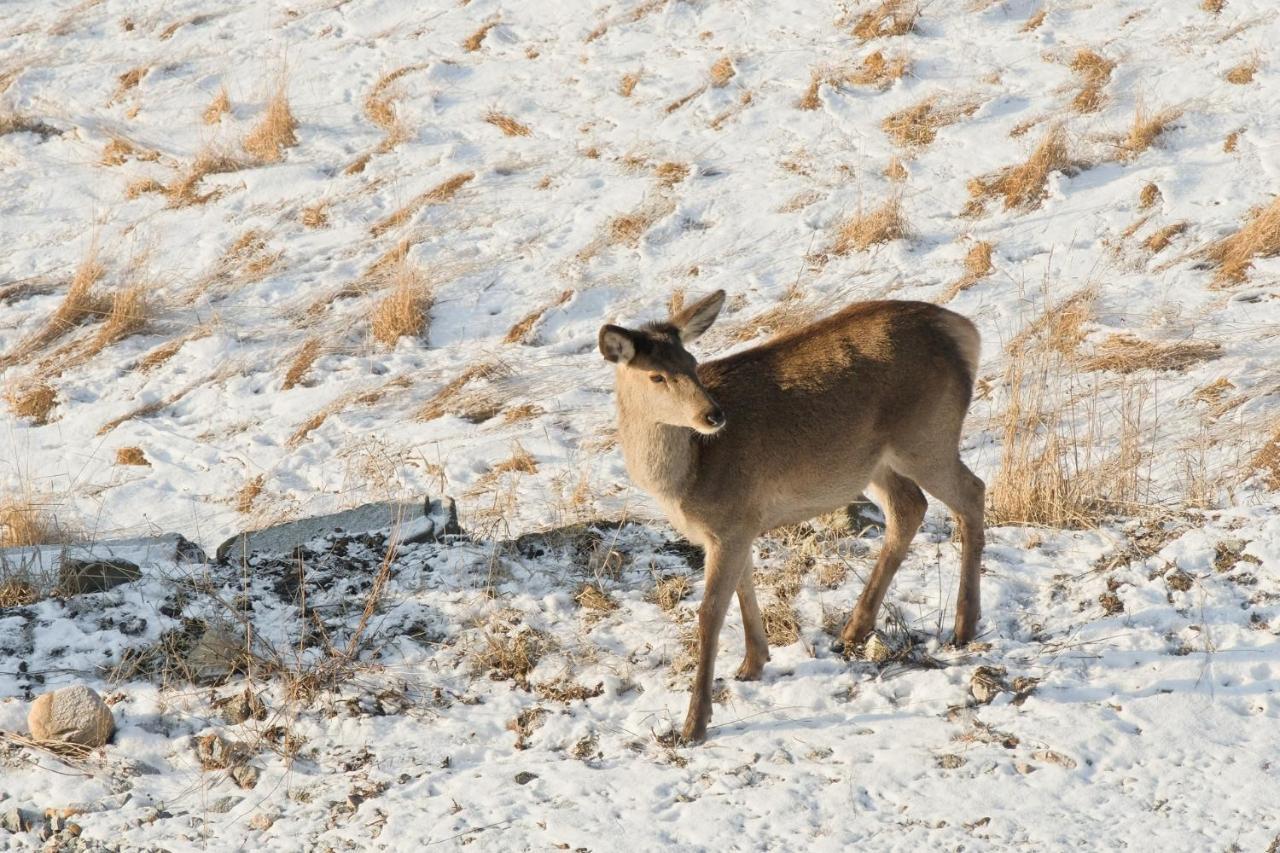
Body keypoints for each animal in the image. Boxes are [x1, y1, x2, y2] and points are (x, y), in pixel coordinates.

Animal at [599, 289, 988, 742]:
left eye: (692, 364)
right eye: (656, 376)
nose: (714, 415)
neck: (686, 476)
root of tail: (966, 331)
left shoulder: (731, 522)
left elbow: (710, 613)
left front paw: (694, 723)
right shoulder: (739, 524)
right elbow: (744, 587)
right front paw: (752, 663)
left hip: (926, 437)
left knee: (972, 492)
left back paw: (963, 626)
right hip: (875, 462)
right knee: (910, 507)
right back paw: (854, 631)